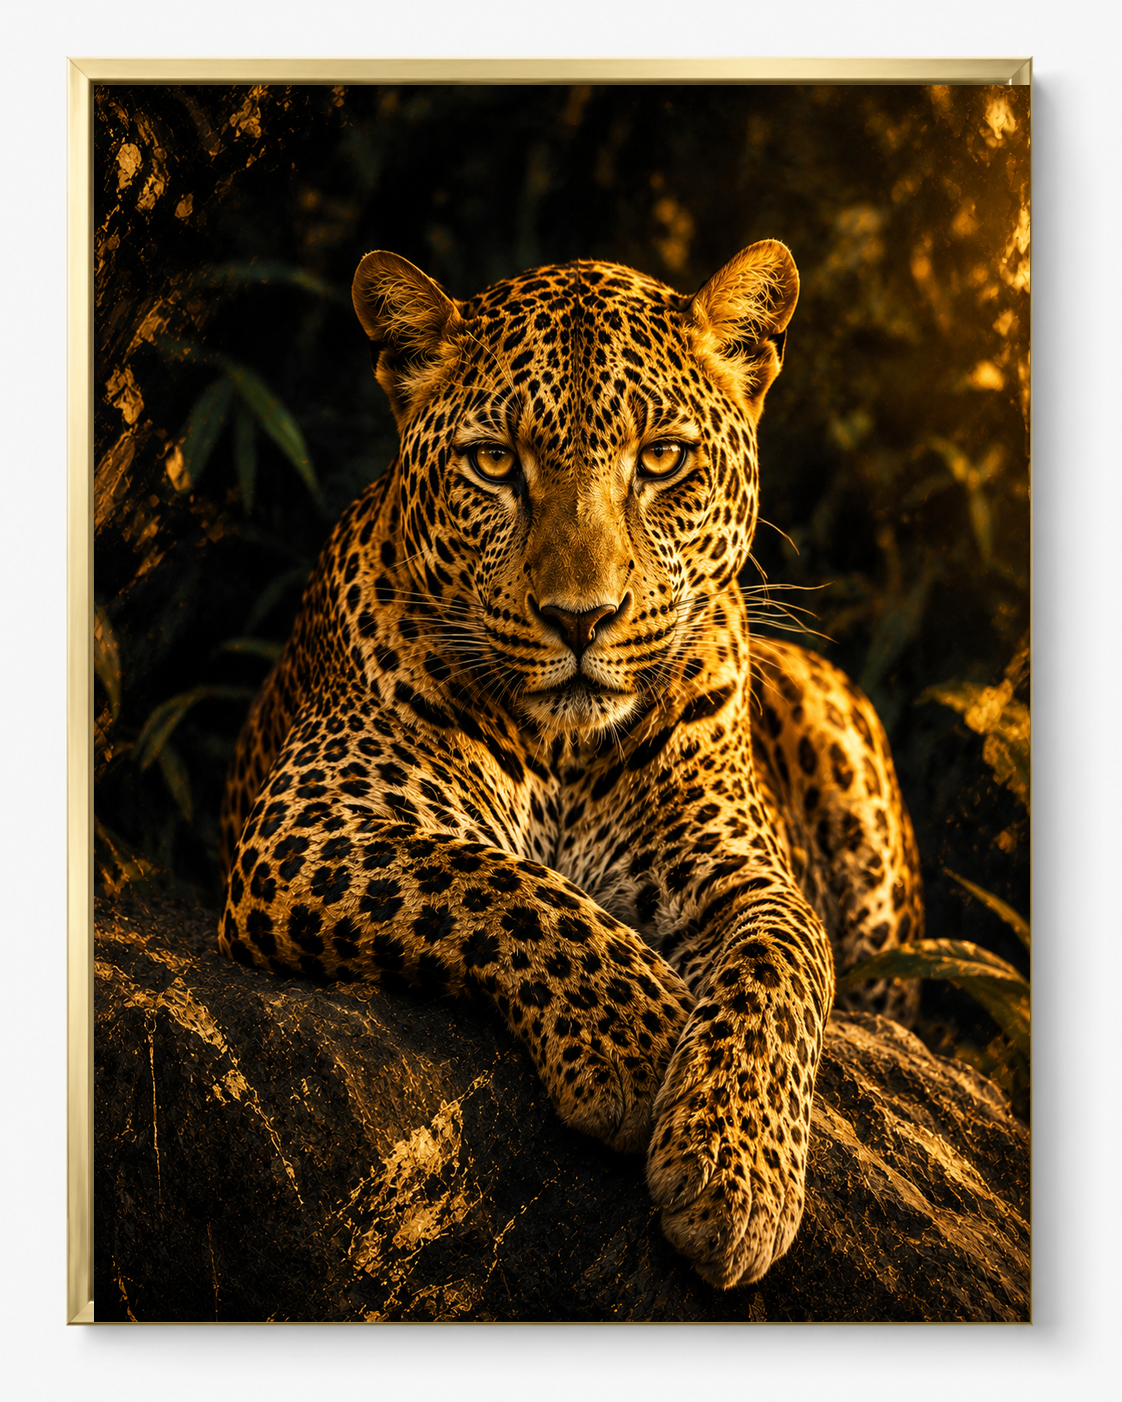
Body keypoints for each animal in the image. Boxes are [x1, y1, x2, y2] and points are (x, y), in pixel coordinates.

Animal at [217, 240, 923, 1290]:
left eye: (662, 458)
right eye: (494, 463)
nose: (580, 619)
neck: (564, 752)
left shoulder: (748, 877)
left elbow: (782, 975)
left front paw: (735, 1180)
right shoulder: (311, 822)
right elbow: (500, 883)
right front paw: (642, 1041)